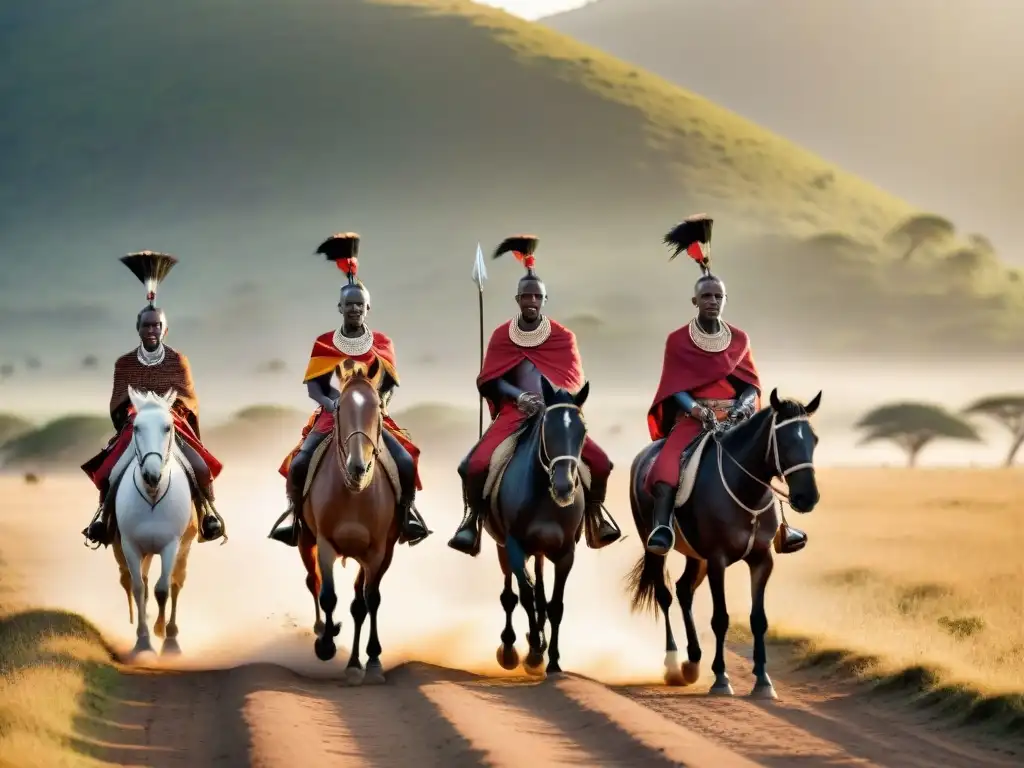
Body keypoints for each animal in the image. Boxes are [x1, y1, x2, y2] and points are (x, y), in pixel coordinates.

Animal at [113, 387, 198, 659]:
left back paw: (170, 632)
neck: (152, 495)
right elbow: (139, 588)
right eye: (136, 427)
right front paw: (143, 640)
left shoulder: (170, 545)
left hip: (184, 546)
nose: (152, 475)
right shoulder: (130, 545)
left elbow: (163, 588)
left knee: (175, 583)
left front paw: (163, 636)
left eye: (168, 427)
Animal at [299, 356, 397, 684]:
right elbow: (328, 595)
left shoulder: (378, 552)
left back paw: (355, 663)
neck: (355, 492)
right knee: (313, 581)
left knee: (359, 604)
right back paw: (322, 632)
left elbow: (371, 600)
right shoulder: (325, 543)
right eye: (340, 406)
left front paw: (374, 661)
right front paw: (326, 645)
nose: (358, 467)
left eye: (377, 406)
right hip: (305, 541)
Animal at [485, 376, 593, 675]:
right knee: (511, 594)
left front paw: (553, 661)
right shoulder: (514, 545)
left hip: (541, 552)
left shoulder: (566, 553)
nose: (564, 487)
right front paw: (533, 651)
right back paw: (510, 648)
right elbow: (525, 595)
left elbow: (555, 605)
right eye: (548, 427)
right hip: (503, 548)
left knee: (541, 593)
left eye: (582, 430)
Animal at [622, 387, 823, 700]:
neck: (745, 488)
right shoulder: (718, 561)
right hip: (653, 544)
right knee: (664, 594)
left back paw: (692, 661)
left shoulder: (762, 560)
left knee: (684, 590)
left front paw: (763, 681)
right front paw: (721, 678)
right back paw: (673, 663)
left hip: (696, 557)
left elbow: (758, 619)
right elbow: (721, 618)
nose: (807, 498)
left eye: (813, 439)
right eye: (784, 440)